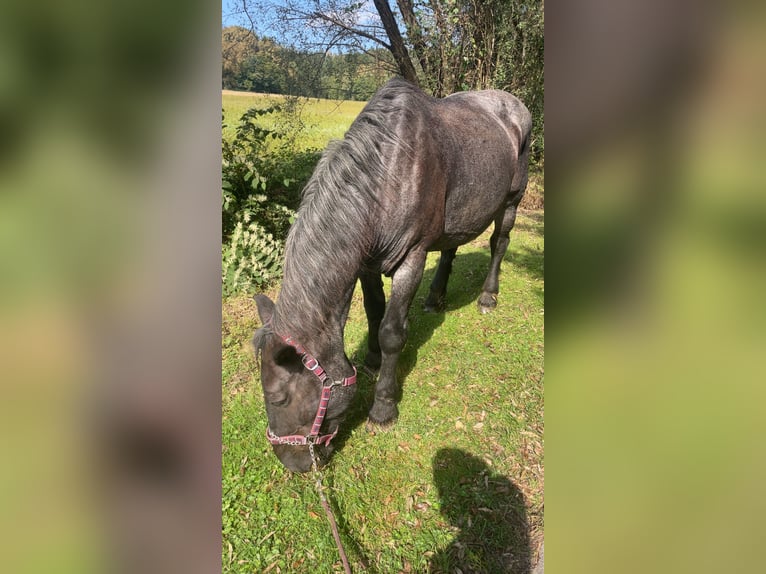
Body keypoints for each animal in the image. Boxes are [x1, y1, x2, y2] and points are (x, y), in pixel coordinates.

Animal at [255, 79, 532, 474]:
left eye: (278, 398)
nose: (293, 462)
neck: (387, 175)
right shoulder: (366, 264)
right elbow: (373, 311)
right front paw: (370, 360)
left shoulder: (411, 259)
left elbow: (391, 332)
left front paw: (383, 406)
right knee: (451, 249)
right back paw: (435, 298)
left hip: (511, 201)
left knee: (499, 243)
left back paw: (487, 296)